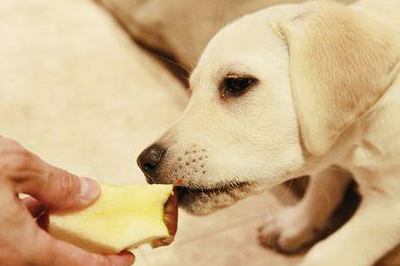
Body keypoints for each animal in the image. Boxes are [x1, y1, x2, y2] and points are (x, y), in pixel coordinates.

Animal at [138, 1, 400, 264]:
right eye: (191, 90)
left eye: (237, 83)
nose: (144, 162)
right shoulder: (332, 155)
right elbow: (321, 186)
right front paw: (293, 225)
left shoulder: (388, 206)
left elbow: (326, 252)